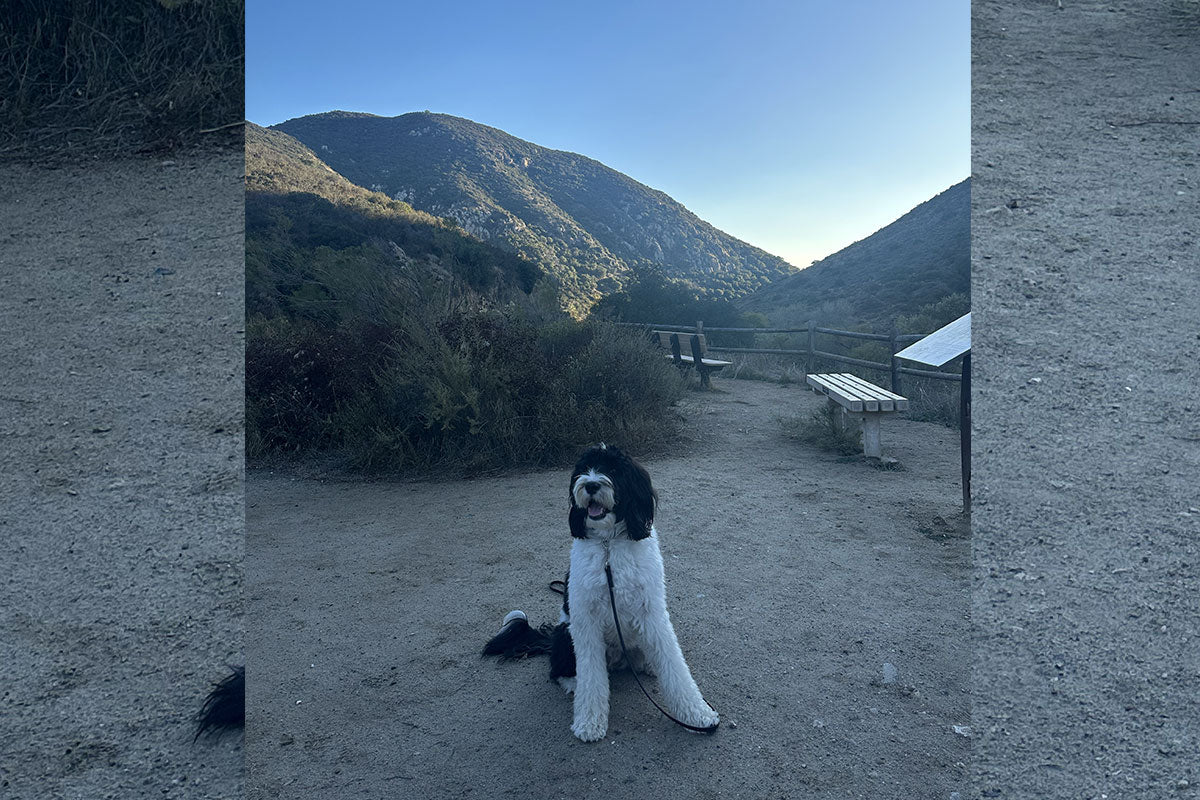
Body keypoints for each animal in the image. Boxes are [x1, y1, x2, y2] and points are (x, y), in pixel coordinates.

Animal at [482, 441, 715, 743]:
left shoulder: (651, 612)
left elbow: (673, 665)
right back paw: (572, 681)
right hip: (565, 633)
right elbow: (592, 679)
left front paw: (698, 714)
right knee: (557, 669)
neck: (608, 548)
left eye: (614, 470)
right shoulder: (586, 622)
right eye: (584, 469)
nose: (591, 485)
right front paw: (589, 722)